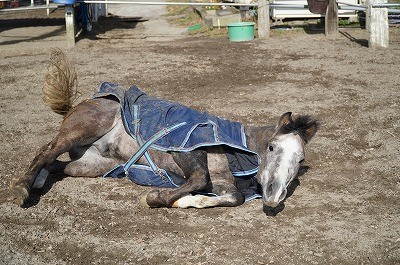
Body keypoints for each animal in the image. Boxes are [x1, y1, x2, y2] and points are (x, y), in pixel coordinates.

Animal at [8, 49, 318, 210]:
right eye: (272, 147)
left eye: (300, 159)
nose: (274, 197)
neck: (237, 149)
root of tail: (81, 102)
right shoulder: (184, 146)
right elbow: (199, 177)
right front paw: (156, 198)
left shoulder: (225, 183)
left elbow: (233, 197)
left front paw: (186, 201)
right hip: (83, 128)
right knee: (46, 150)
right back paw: (21, 189)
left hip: (91, 165)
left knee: (54, 162)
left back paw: (37, 181)